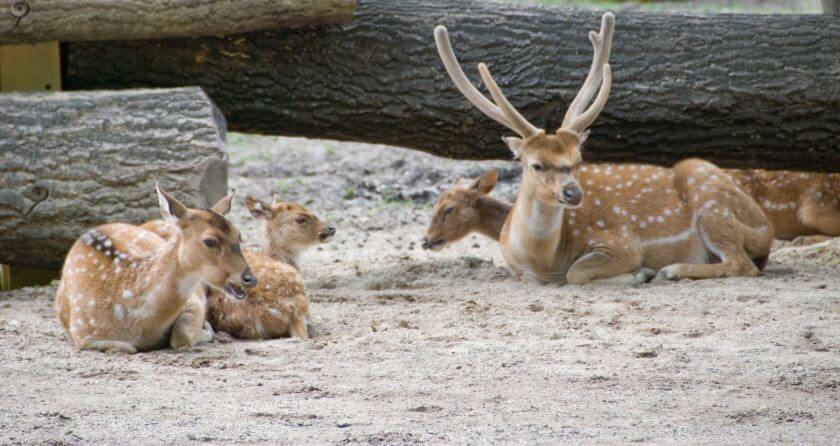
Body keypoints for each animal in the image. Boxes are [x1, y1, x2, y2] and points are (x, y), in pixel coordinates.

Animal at [54, 184, 256, 352]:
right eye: (210, 241)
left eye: (239, 236)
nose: (250, 278)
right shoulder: (83, 334)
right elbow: (129, 347)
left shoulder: (194, 301)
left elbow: (180, 337)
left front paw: (205, 329)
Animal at [440, 14, 776, 286]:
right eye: (536, 164)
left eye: (578, 160)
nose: (573, 193)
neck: (544, 261)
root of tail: (766, 229)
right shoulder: (517, 269)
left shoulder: (621, 243)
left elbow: (577, 272)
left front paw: (641, 273)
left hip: (712, 205)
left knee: (742, 264)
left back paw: (672, 269)